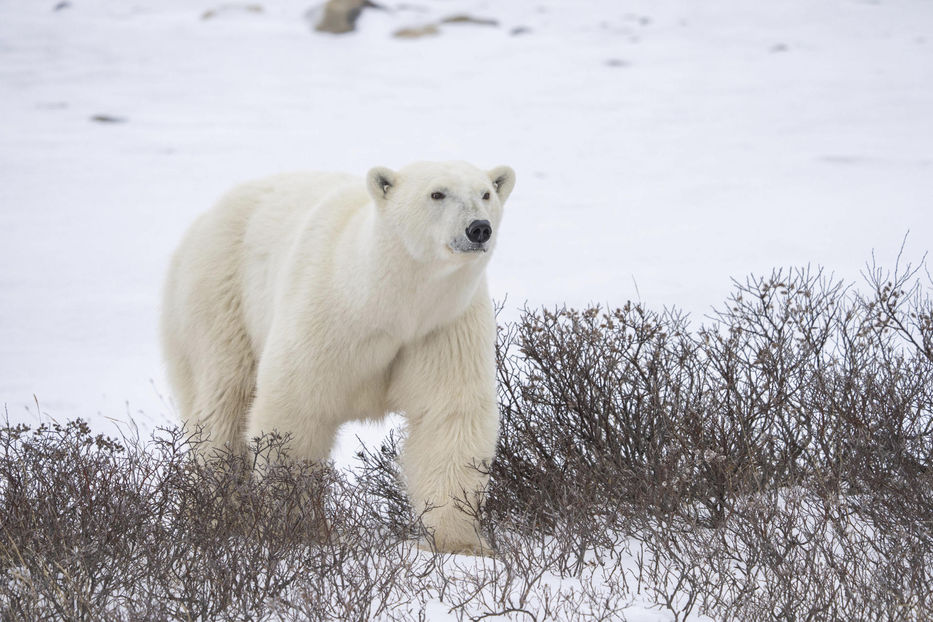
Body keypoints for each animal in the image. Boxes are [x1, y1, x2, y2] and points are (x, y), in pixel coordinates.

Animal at [160, 161, 510, 556]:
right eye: (437, 193)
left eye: (486, 193)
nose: (478, 228)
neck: (383, 303)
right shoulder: (327, 315)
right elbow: (294, 410)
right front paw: (296, 529)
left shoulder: (443, 328)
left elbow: (449, 415)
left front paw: (461, 543)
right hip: (220, 297)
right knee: (224, 404)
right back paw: (218, 513)